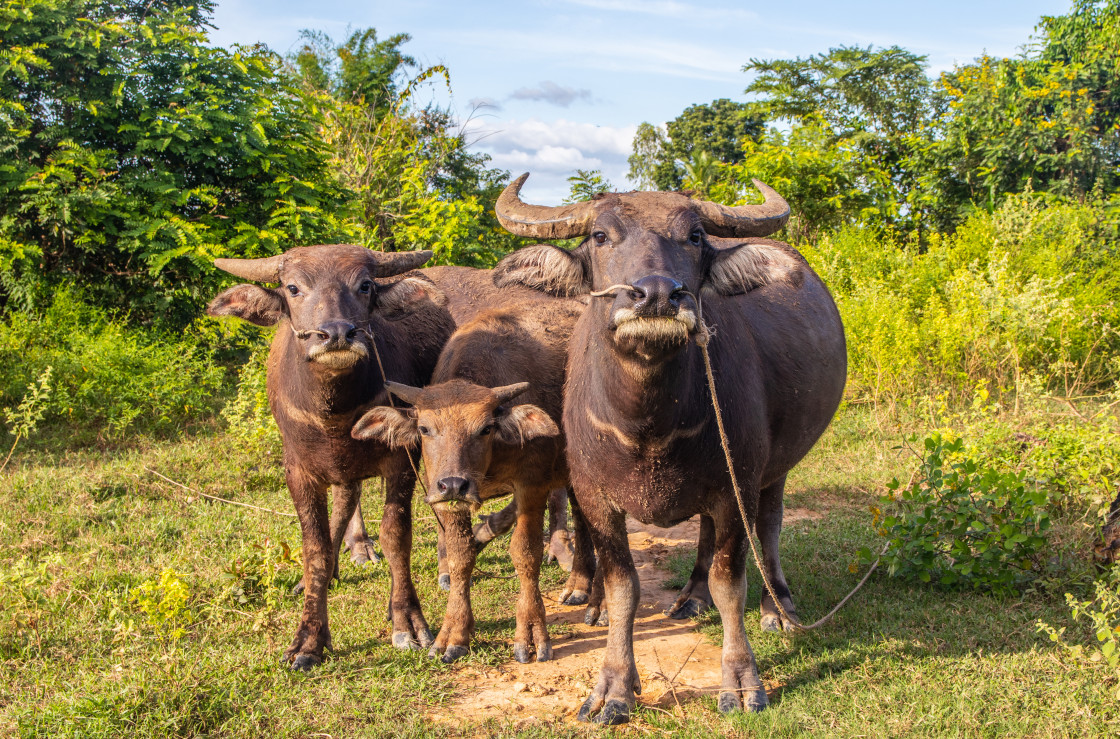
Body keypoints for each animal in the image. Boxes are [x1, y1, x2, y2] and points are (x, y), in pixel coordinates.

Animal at [208, 244, 452, 671]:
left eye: (365, 285)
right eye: (293, 288)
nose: (337, 334)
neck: (335, 412)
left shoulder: (402, 459)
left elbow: (396, 535)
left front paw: (406, 620)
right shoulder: (298, 472)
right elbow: (315, 548)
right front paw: (308, 638)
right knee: (345, 500)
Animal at [492, 174, 846, 721]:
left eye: (695, 236)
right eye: (599, 235)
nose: (657, 295)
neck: (648, 425)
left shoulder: (736, 487)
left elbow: (730, 583)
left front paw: (741, 680)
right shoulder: (595, 498)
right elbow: (623, 588)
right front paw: (614, 687)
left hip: (774, 469)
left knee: (768, 527)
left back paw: (778, 607)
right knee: (703, 533)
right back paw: (691, 597)